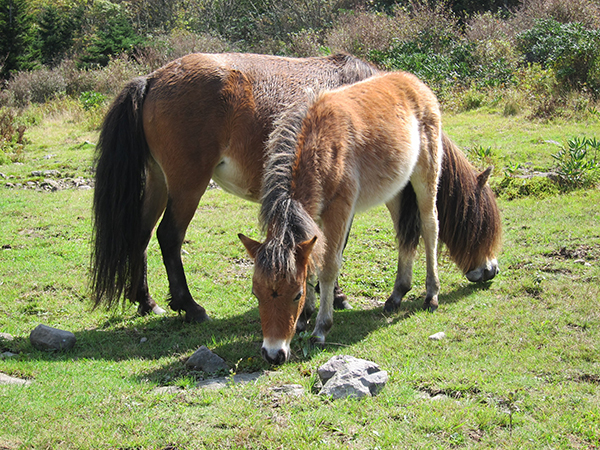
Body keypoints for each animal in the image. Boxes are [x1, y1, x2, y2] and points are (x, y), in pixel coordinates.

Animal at [90, 52, 502, 326]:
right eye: (483, 224)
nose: (491, 271)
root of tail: (152, 80)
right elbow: (336, 246)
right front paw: (334, 297)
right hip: (188, 185)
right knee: (168, 237)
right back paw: (190, 307)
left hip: (160, 181)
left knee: (141, 235)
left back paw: (147, 302)